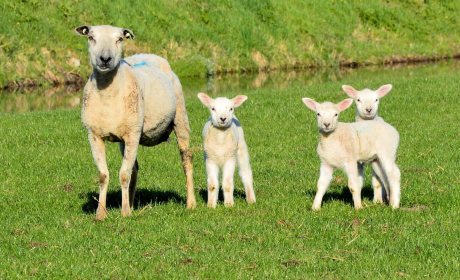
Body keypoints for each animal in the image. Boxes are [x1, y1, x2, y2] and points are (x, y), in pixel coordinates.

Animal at [75, 25, 196, 220]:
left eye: (119, 39)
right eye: (91, 38)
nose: (105, 59)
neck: (107, 96)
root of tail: (149, 54)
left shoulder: (132, 133)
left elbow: (124, 174)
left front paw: (124, 213)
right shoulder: (94, 135)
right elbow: (104, 175)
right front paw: (101, 214)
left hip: (180, 118)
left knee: (186, 159)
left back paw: (191, 203)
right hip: (127, 137)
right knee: (134, 168)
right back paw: (131, 204)